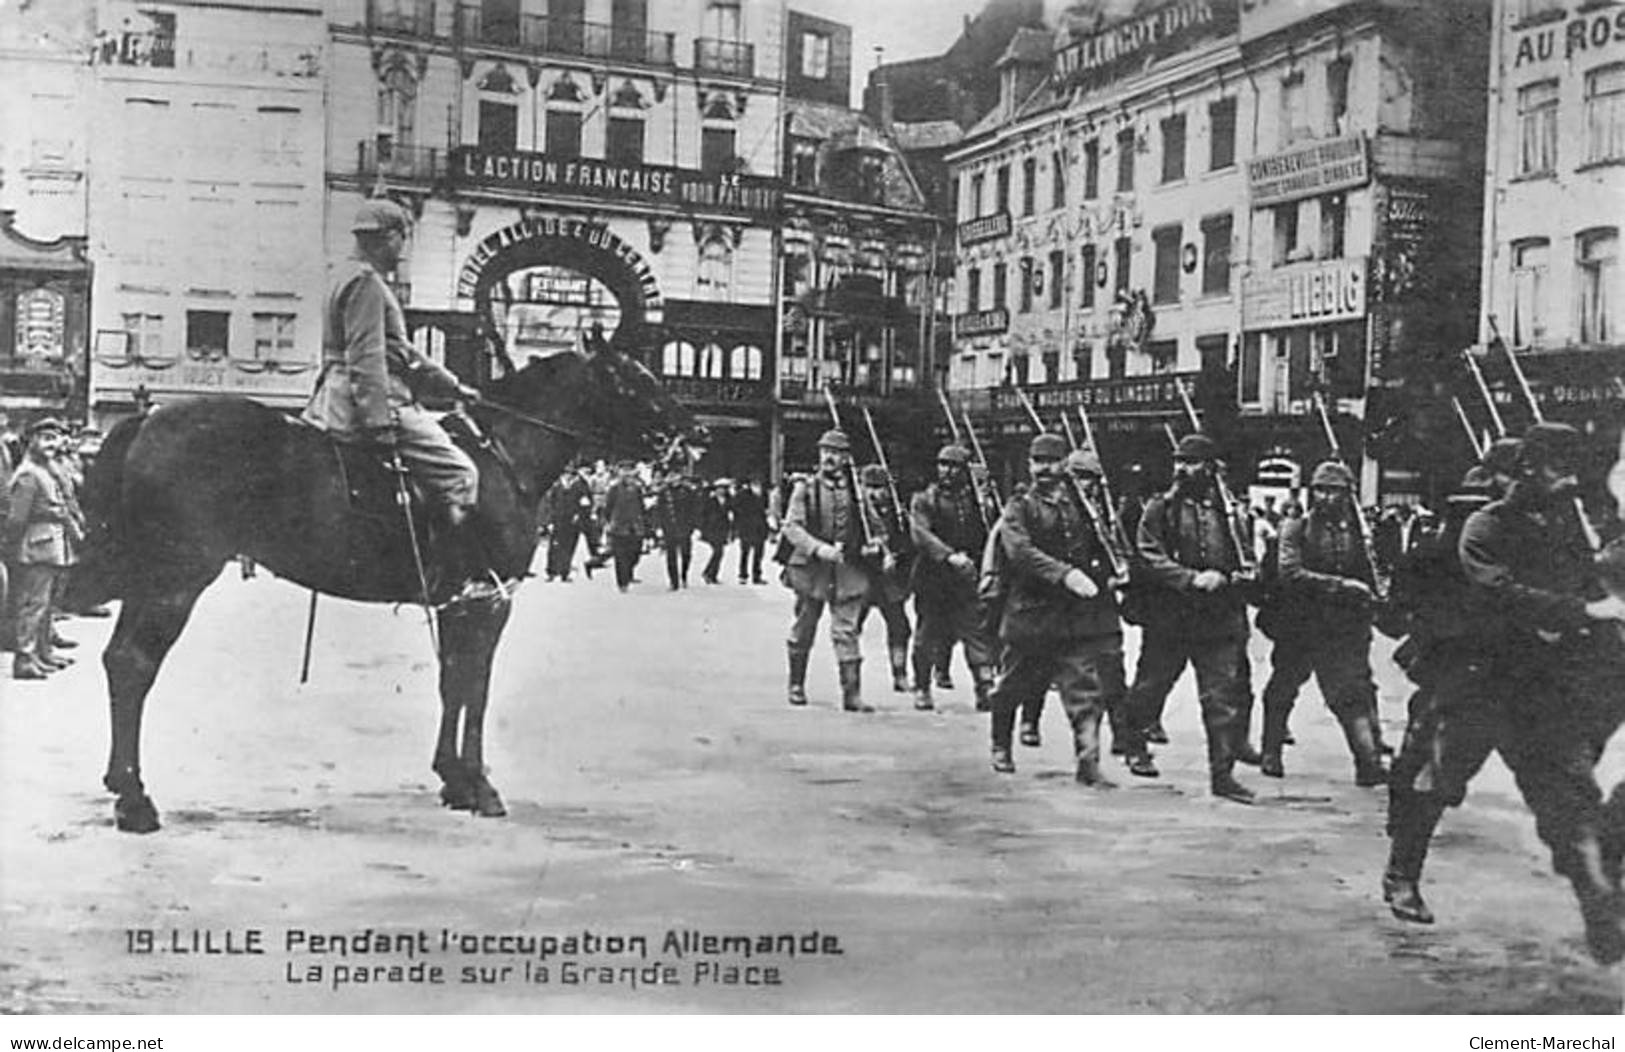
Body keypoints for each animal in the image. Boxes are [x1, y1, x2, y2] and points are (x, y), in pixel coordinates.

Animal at [73, 349, 702, 832]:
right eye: (635, 380)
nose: (694, 435)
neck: (501, 455)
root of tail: (148, 421)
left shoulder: (458, 603)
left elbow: (454, 683)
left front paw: (454, 779)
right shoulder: (490, 599)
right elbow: (476, 687)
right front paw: (479, 786)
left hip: (152, 581)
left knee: (118, 661)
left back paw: (121, 785)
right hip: (176, 581)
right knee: (134, 665)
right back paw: (135, 800)